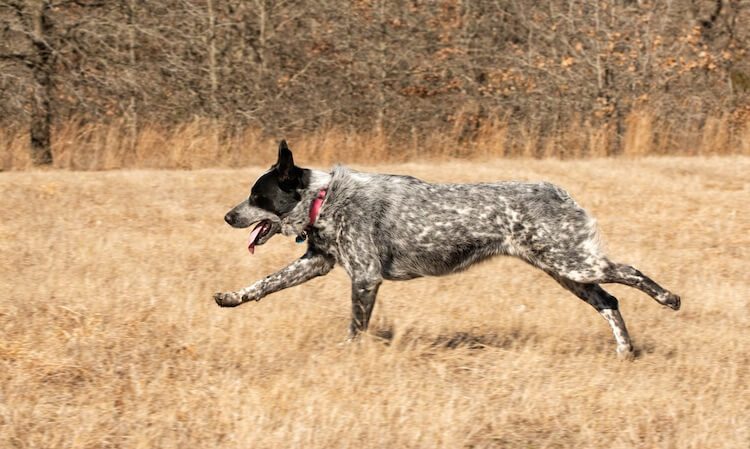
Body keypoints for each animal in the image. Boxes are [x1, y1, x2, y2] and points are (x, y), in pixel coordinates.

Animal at [213, 140, 680, 356]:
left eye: (257, 195)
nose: (227, 217)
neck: (325, 199)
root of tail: (560, 193)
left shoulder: (364, 277)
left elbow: (356, 326)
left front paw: (349, 355)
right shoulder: (317, 261)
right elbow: (264, 283)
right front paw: (231, 297)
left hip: (574, 264)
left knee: (631, 273)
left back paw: (669, 298)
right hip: (566, 271)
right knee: (611, 301)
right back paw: (625, 351)